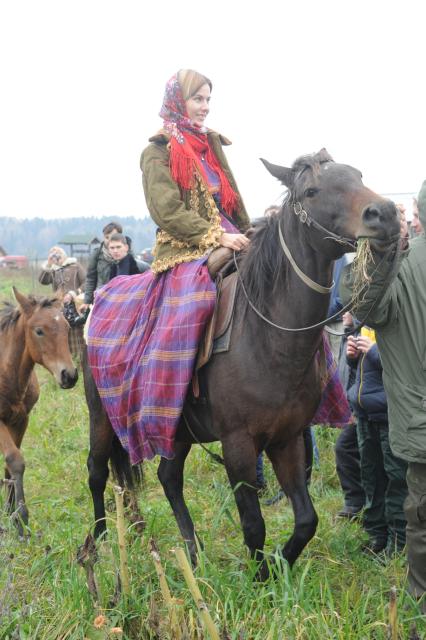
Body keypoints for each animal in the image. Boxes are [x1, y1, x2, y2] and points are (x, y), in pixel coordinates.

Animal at [0, 290, 78, 536]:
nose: (69, 375)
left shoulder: (21, 419)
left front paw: (11, 513)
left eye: (66, 326)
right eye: (39, 331)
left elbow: (10, 465)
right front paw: (21, 519)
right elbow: (14, 459)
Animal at [84, 149, 400, 576]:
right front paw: (259, 574)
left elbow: (306, 519)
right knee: (97, 472)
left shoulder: (287, 438)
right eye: (312, 191)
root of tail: (97, 298)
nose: (386, 213)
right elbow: (253, 524)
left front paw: (279, 565)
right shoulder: (238, 445)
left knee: (169, 477)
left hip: (175, 430)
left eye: (358, 176)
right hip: (102, 418)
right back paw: (100, 543)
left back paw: (192, 550)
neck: (269, 338)